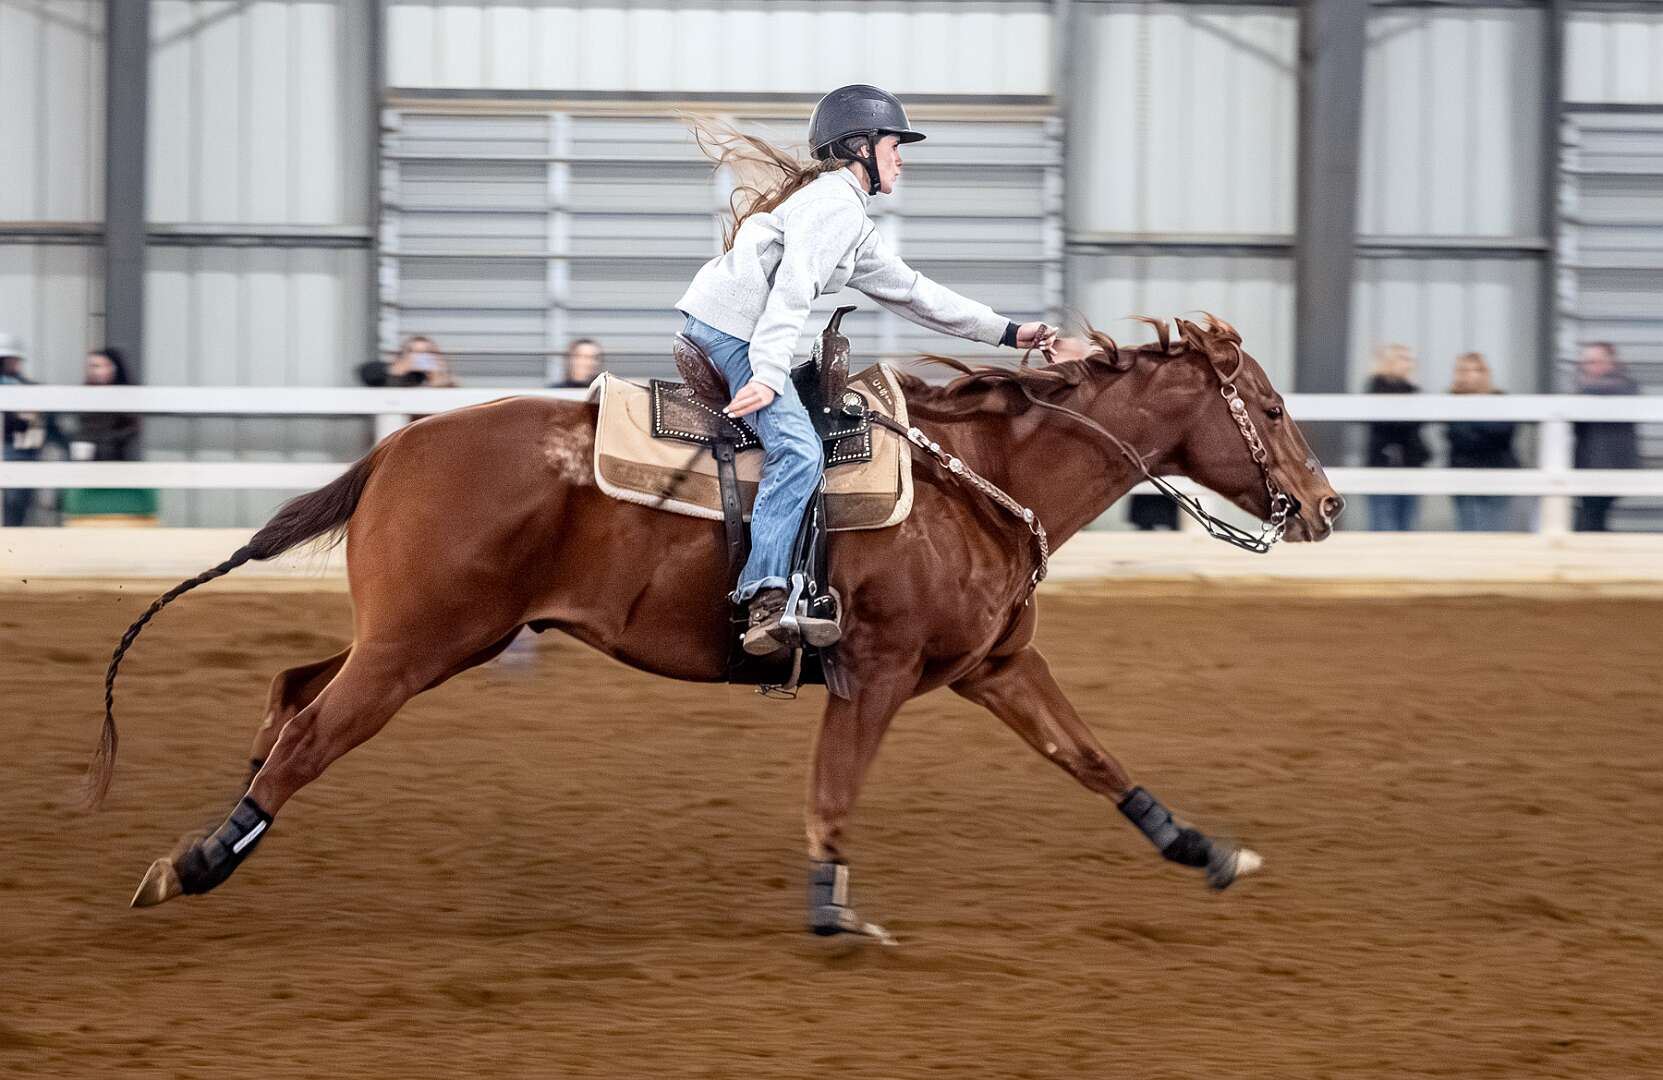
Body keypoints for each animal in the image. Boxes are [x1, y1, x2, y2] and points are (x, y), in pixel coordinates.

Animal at [85, 315, 1342, 942]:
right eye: (1272, 406)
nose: (1324, 505)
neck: (977, 478)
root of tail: (400, 444)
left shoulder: (994, 664)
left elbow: (1092, 759)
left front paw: (1205, 849)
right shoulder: (877, 672)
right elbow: (835, 791)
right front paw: (833, 912)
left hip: (425, 642)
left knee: (291, 696)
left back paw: (227, 829)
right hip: (416, 648)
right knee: (310, 733)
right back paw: (193, 863)